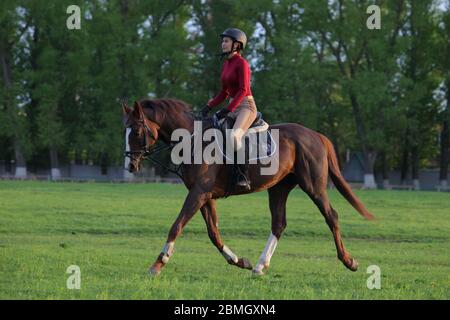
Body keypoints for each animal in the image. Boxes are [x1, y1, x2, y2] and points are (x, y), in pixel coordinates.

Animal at [121, 98, 374, 276]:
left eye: (137, 131)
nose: (130, 165)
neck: (193, 138)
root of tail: (316, 135)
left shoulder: (199, 193)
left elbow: (177, 226)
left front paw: (158, 263)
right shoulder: (204, 195)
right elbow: (213, 232)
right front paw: (238, 260)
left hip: (314, 186)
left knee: (331, 216)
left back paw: (349, 261)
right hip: (279, 188)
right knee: (279, 223)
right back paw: (260, 266)